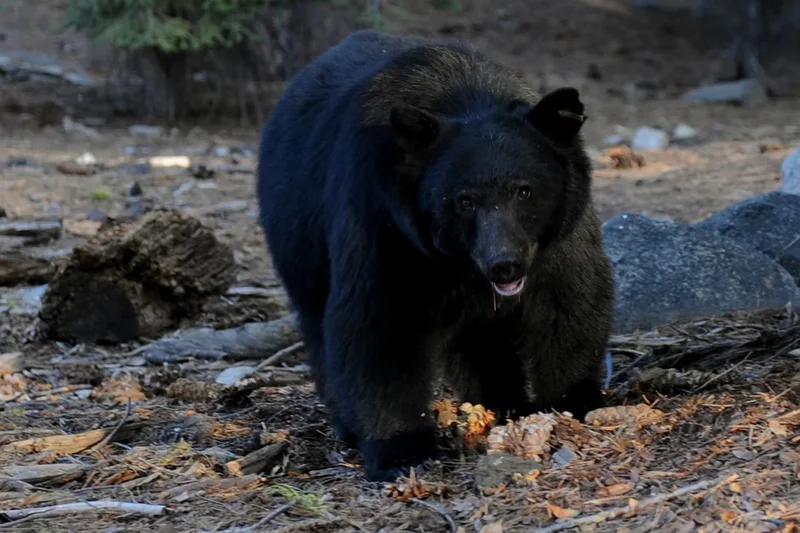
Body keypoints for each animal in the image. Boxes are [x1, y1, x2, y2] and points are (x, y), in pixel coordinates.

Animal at [256, 29, 615, 482]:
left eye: (525, 190)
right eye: (463, 200)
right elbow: (378, 323)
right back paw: (349, 425)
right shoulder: (383, 221)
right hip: (298, 239)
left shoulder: (559, 235)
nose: (504, 264)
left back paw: (501, 402)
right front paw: (402, 450)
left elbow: (569, 301)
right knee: (319, 325)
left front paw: (574, 403)